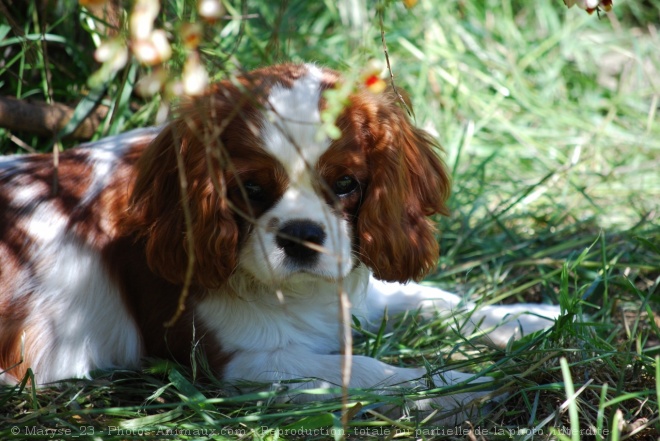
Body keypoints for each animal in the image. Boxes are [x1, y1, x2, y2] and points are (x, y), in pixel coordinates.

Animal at [0, 63, 556, 418]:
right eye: (250, 188)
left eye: (346, 183)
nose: (301, 235)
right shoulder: (242, 362)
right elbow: (366, 369)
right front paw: (464, 384)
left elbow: (431, 299)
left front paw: (533, 318)